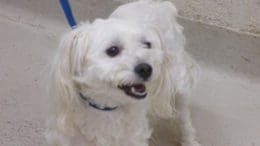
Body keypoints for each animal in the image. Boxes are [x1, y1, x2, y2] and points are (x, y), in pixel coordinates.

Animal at [46, 0, 199, 145]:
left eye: (147, 44)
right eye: (112, 50)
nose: (146, 69)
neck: (107, 108)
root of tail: (157, 5)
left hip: (179, 90)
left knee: (185, 121)